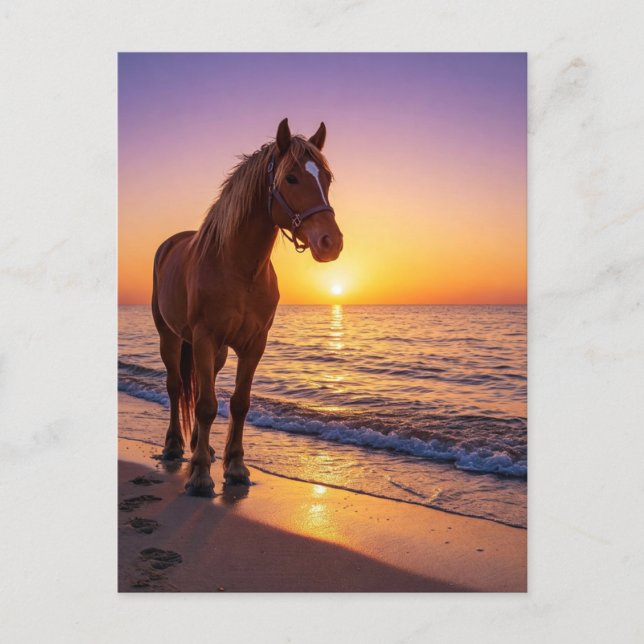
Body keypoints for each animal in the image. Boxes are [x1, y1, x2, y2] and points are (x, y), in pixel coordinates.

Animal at [151, 119, 343, 496]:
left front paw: (236, 468)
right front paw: (200, 475)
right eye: (291, 178)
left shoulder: (254, 344)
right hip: (172, 336)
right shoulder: (205, 337)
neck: (239, 269)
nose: (331, 242)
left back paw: (203, 447)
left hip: (216, 350)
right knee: (177, 386)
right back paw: (175, 447)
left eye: (326, 179)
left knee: (201, 386)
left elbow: (238, 404)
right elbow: (206, 405)